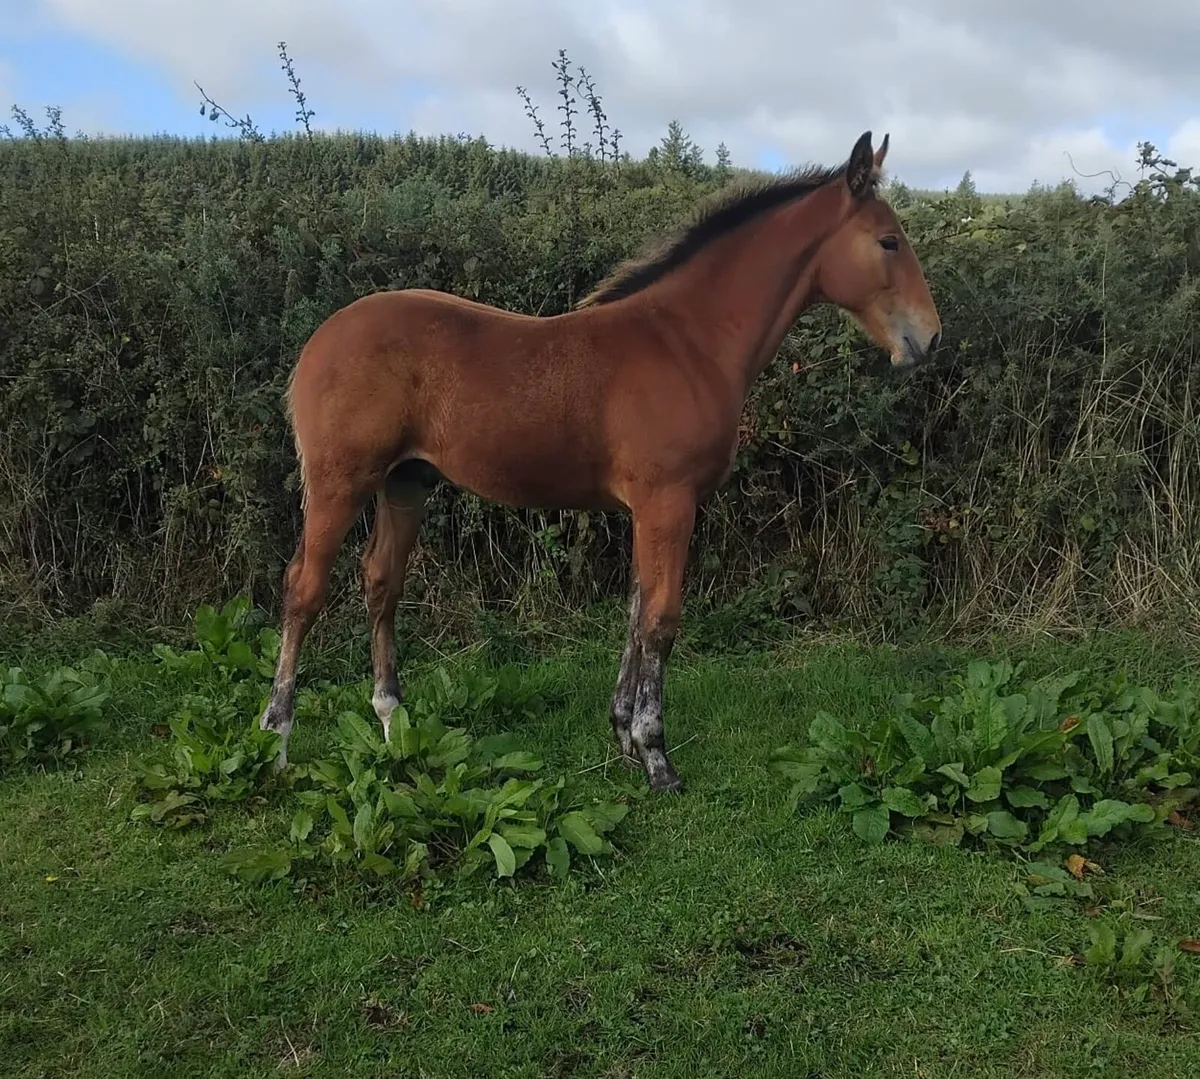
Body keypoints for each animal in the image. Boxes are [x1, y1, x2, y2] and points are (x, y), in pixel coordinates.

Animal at [259, 130, 942, 793]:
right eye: (888, 241)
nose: (930, 339)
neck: (689, 342)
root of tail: (320, 339)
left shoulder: (648, 508)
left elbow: (635, 612)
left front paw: (623, 737)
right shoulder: (668, 502)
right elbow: (661, 620)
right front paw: (656, 755)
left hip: (405, 483)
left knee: (382, 583)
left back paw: (392, 723)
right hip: (339, 483)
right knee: (303, 589)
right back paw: (277, 741)